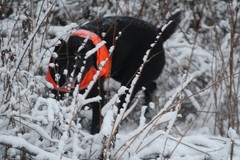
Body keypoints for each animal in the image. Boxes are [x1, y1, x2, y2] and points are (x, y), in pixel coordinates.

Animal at [46, 12, 180, 134]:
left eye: (86, 60)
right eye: (68, 57)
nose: (78, 69)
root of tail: (159, 34)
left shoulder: (98, 96)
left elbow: (96, 121)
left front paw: (95, 136)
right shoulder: (56, 92)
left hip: (131, 80)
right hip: (124, 75)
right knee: (151, 86)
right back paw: (147, 113)